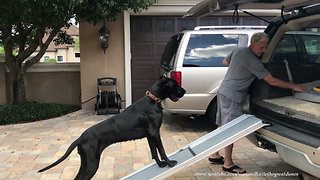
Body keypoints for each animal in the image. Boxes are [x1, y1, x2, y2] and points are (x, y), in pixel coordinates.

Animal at [38, 76, 186, 180]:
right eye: (175, 85)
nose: (184, 91)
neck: (153, 100)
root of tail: (80, 138)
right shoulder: (155, 133)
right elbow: (162, 150)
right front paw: (169, 163)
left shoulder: (150, 135)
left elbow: (154, 152)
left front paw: (161, 165)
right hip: (91, 164)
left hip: (87, 163)